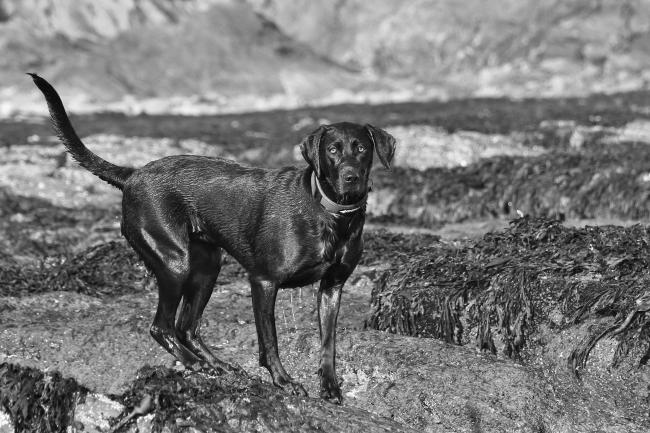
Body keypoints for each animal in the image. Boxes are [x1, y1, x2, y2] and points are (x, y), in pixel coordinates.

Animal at [29, 73, 394, 402]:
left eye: (362, 148)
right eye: (332, 150)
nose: (351, 177)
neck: (331, 213)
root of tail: (133, 175)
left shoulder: (332, 287)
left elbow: (328, 343)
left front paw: (330, 388)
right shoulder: (263, 281)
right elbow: (270, 341)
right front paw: (284, 382)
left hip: (207, 267)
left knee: (186, 327)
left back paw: (216, 365)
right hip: (174, 262)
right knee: (162, 327)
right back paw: (196, 365)